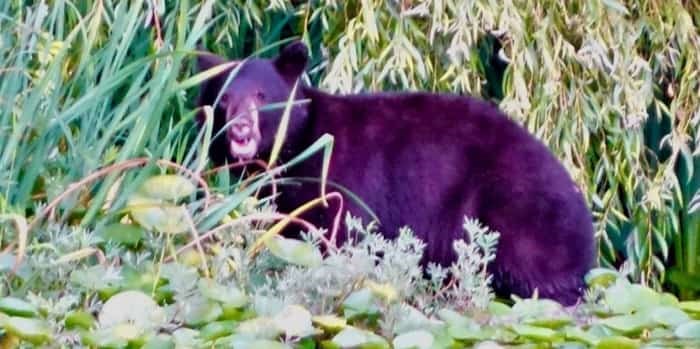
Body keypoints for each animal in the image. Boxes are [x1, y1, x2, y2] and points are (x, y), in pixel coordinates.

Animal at [197, 40, 596, 304]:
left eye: (262, 96)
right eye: (224, 99)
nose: (239, 130)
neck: (296, 148)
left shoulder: (340, 178)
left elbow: (339, 234)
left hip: (515, 211)